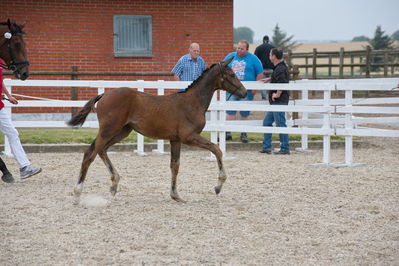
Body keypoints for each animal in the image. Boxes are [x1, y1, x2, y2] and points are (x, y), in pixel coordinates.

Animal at [69, 57, 247, 204]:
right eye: (231, 74)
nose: (244, 92)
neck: (192, 102)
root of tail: (104, 95)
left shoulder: (175, 139)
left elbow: (175, 165)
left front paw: (176, 195)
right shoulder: (189, 137)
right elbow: (216, 149)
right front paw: (218, 186)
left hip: (122, 132)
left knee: (101, 150)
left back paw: (113, 185)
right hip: (109, 130)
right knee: (90, 154)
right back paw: (78, 194)